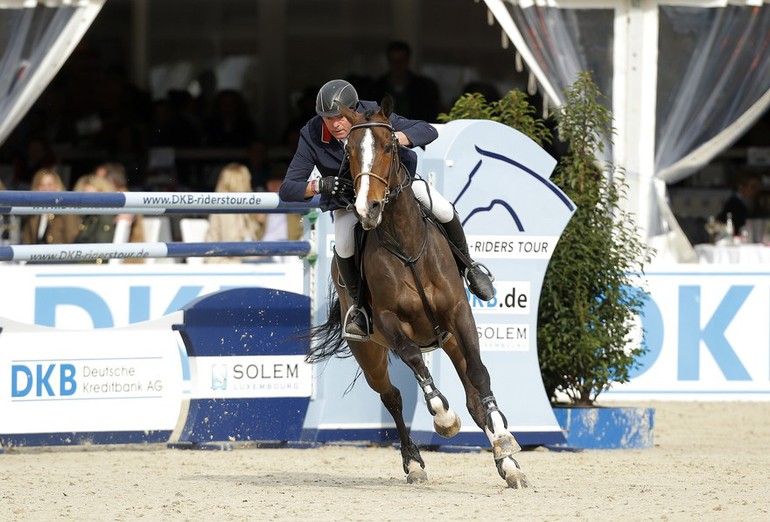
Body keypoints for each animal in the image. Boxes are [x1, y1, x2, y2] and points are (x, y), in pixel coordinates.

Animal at [306, 98, 528, 488]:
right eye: (350, 152)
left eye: (389, 146)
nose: (367, 209)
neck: (407, 244)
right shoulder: (390, 323)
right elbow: (416, 365)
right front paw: (444, 419)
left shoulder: (459, 315)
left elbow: (481, 375)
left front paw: (505, 443)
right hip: (369, 352)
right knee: (391, 396)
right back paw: (414, 462)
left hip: (448, 339)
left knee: (472, 396)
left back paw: (508, 464)